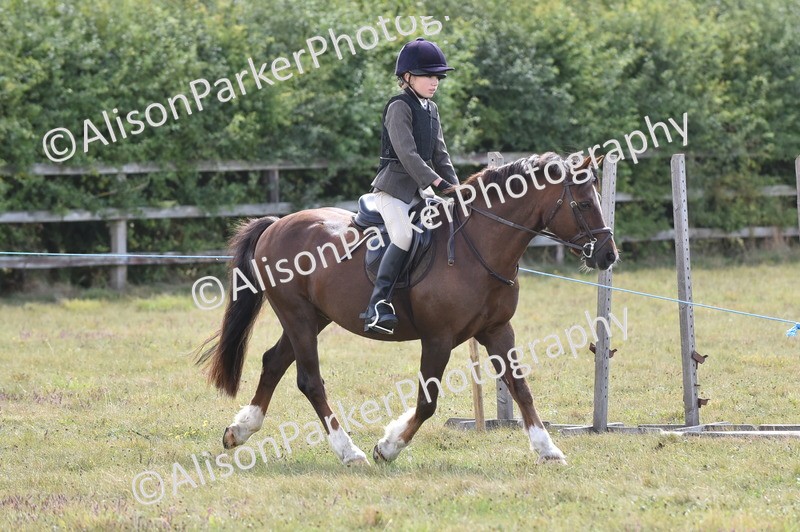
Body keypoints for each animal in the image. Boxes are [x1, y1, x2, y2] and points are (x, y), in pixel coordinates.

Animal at [196, 152, 618, 466]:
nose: (608, 255)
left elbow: (520, 387)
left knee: (273, 361)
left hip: (313, 318)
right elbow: (427, 402)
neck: (479, 244)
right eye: (583, 203)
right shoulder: (438, 338)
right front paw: (388, 447)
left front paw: (548, 449)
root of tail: (275, 224)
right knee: (309, 380)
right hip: (298, 316)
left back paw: (240, 430)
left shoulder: (498, 330)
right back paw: (348, 452)